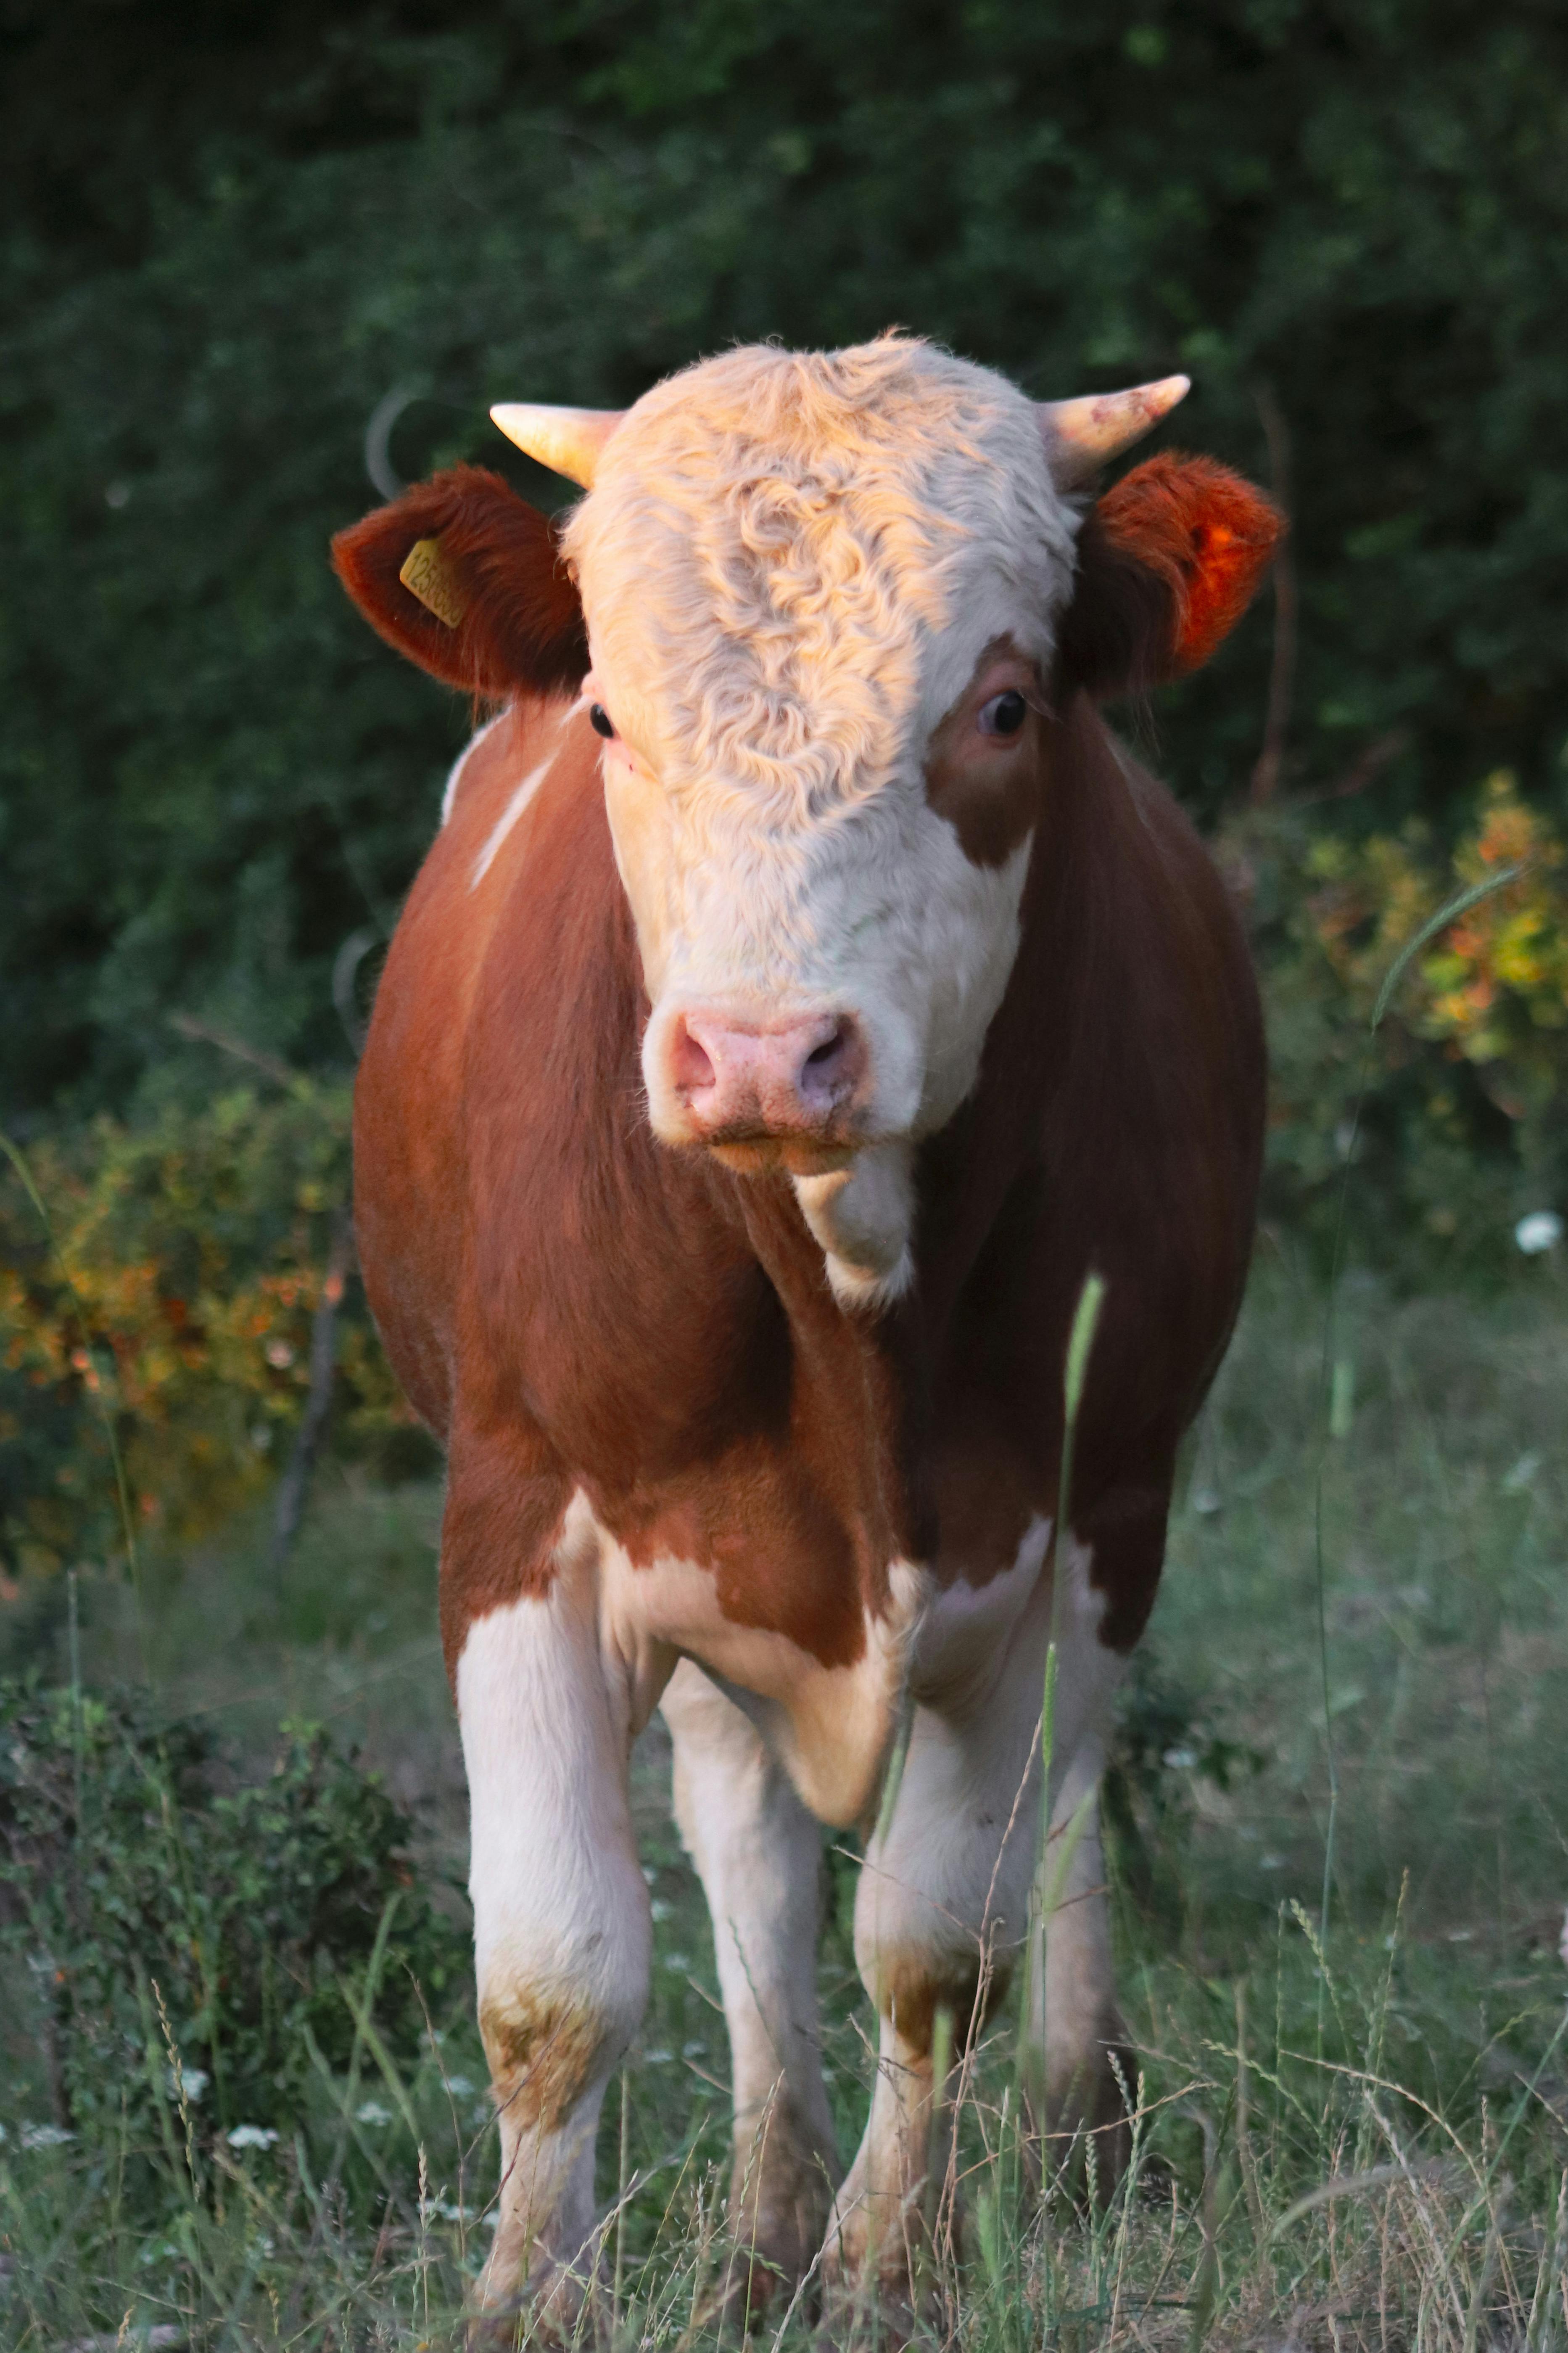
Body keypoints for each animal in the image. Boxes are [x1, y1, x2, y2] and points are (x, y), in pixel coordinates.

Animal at [331, 333, 1277, 2328]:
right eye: (609, 717)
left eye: (1000, 705)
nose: (765, 1053)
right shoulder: (518, 1518)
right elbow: (554, 1971)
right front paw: (532, 2296)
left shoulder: (1084, 1515)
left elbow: (934, 1939)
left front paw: (881, 2265)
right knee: (745, 1844)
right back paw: (760, 2213)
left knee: (1063, 1805)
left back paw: (1073, 2124)